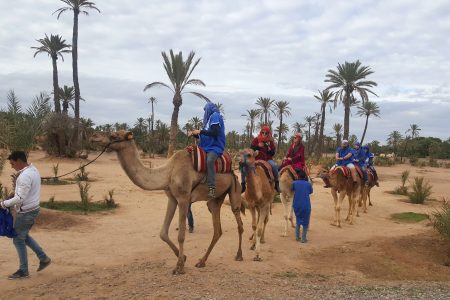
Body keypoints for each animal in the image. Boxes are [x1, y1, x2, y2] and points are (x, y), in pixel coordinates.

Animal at [90, 131, 244, 274]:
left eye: (114, 135)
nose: (94, 137)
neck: (168, 173)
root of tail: (232, 166)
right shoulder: (172, 198)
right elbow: (163, 233)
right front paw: (183, 258)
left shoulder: (183, 198)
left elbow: (181, 235)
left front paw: (179, 267)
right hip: (215, 200)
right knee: (217, 229)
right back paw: (202, 261)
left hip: (234, 188)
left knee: (239, 222)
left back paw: (239, 255)